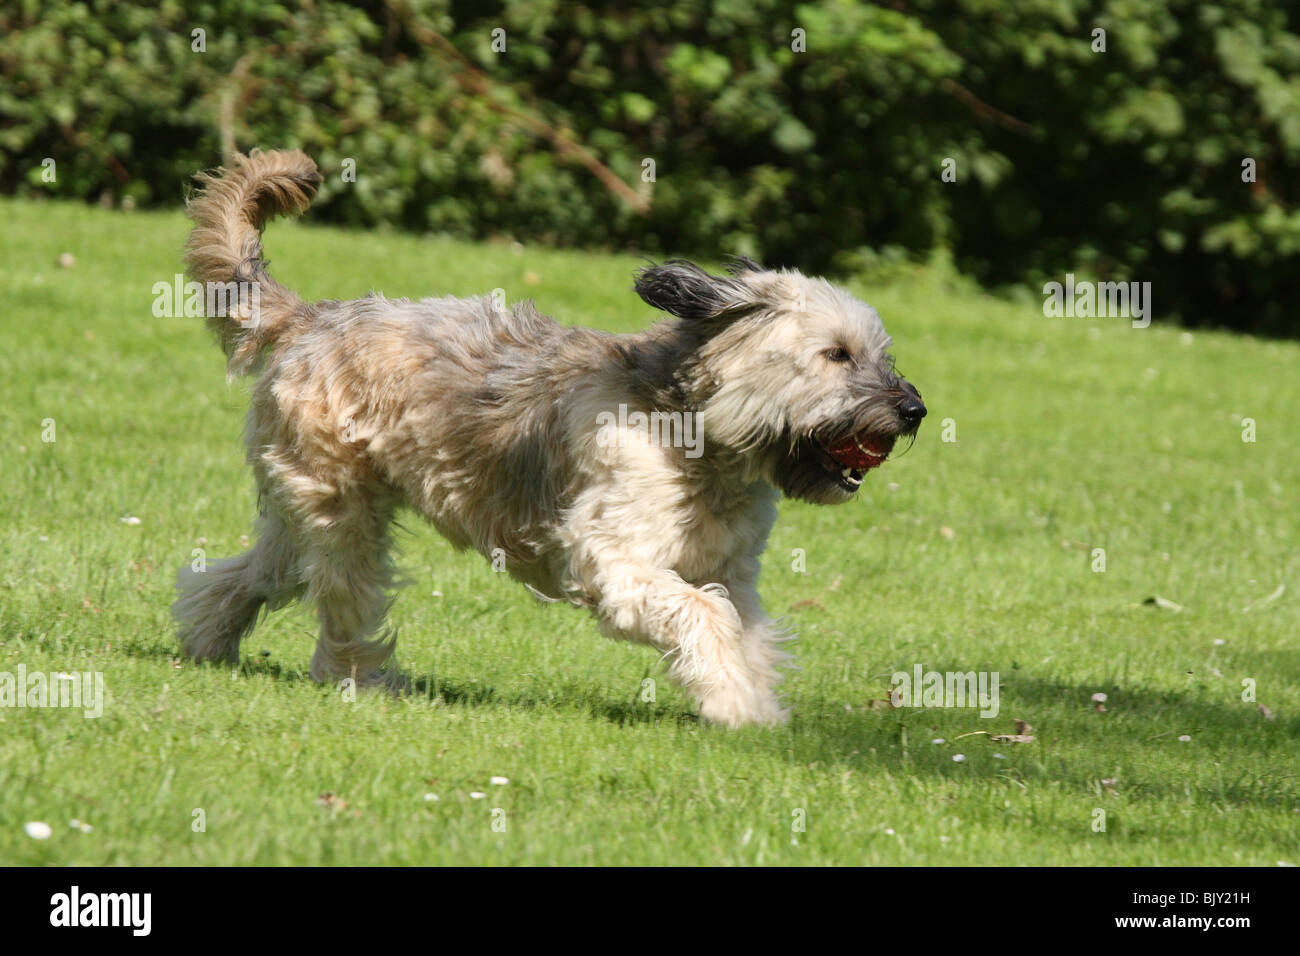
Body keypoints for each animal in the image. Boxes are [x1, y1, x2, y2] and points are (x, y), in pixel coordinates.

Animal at [172, 149, 925, 728]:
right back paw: (361, 680)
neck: (698, 436)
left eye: (880, 354)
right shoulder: (610, 557)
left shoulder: (731, 570)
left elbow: (747, 631)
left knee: (248, 575)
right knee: (342, 600)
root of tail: (313, 316)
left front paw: (757, 705)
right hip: (341, 509)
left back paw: (204, 643)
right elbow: (703, 615)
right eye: (836, 354)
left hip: (303, 504)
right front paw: (736, 707)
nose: (914, 409)